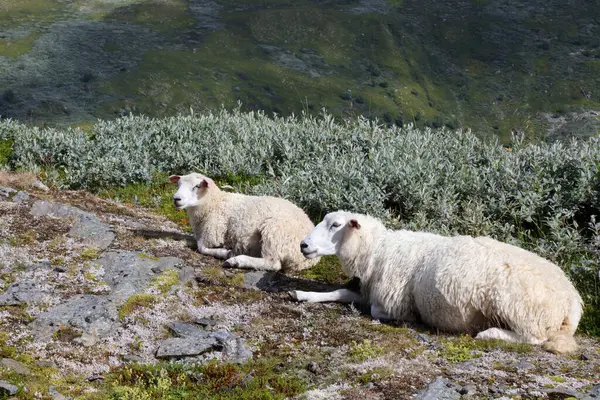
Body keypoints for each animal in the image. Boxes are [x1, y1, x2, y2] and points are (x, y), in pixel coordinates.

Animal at [169, 173, 318, 272]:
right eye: (179, 184)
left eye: (196, 186)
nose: (176, 198)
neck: (214, 203)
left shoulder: (214, 233)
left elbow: (202, 248)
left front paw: (225, 252)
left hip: (275, 232)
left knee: (273, 263)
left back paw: (236, 261)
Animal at [290, 209, 580, 354]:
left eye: (335, 225)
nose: (303, 245)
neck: (376, 250)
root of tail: (572, 299)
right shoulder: (369, 289)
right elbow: (339, 292)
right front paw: (302, 294)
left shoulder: (394, 300)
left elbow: (376, 310)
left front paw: (410, 319)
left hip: (521, 309)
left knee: (535, 338)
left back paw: (490, 332)